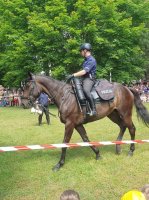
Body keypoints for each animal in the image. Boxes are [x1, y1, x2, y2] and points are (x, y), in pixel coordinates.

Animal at [21, 72, 149, 171]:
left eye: (28, 86)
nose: (23, 103)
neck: (64, 96)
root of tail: (127, 88)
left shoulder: (70, 124)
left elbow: (64, 143)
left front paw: (59, 164)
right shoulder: (77, 124)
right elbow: (86, 139)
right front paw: (98, 154)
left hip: (125, 114)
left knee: (132, 129)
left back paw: (131, 151)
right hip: (113, 114)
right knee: (123, 126)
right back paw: (118, 147)